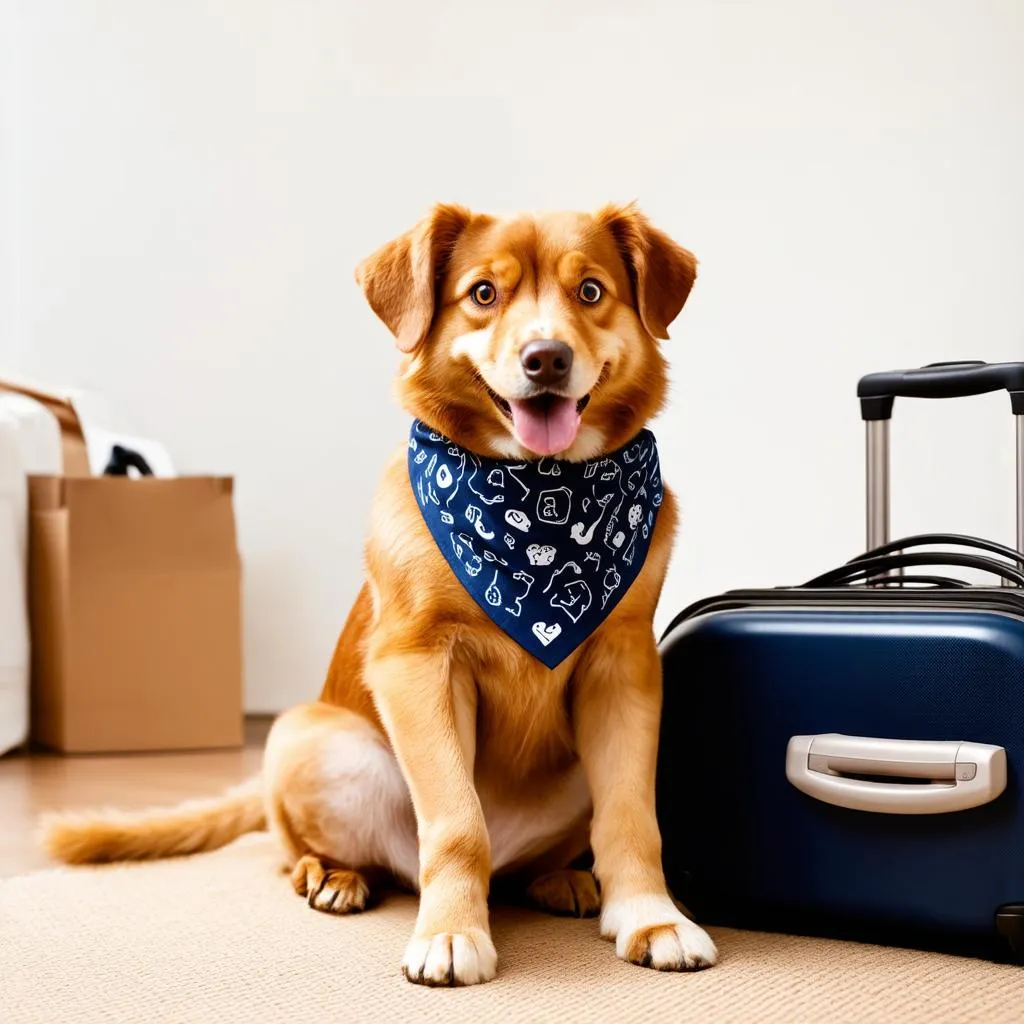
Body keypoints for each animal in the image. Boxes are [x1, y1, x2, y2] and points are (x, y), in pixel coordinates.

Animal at [37, 205, 712, 983]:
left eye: (592, 291)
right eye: (484, 294)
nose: (546, 358)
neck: (540, 496)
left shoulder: (624, 668)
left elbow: (630, 817)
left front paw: (652, 917)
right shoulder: (416, 664)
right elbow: (456, 823)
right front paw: (451, 932)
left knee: (531, 862)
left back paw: (558, 877)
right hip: (307, 735)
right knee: (312, 851)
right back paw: (331, 875)